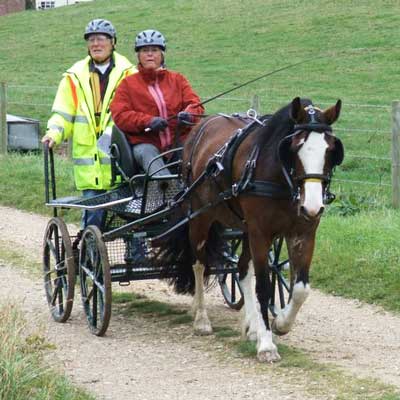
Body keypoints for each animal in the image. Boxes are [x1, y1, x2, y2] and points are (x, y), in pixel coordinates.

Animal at [155, 97, 342, 362]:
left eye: (331, 150)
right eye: (295, 148)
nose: (313, 206)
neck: (281, 179)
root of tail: (201, 127)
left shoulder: (303, 232)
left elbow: (300, 289)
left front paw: (280, 324)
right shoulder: (261, 233)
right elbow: (263, 287)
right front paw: (267, 345)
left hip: (244, 228)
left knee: (242, 269)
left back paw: (251, 327)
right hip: (200, 217)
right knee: (199, 264)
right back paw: (201, 318)